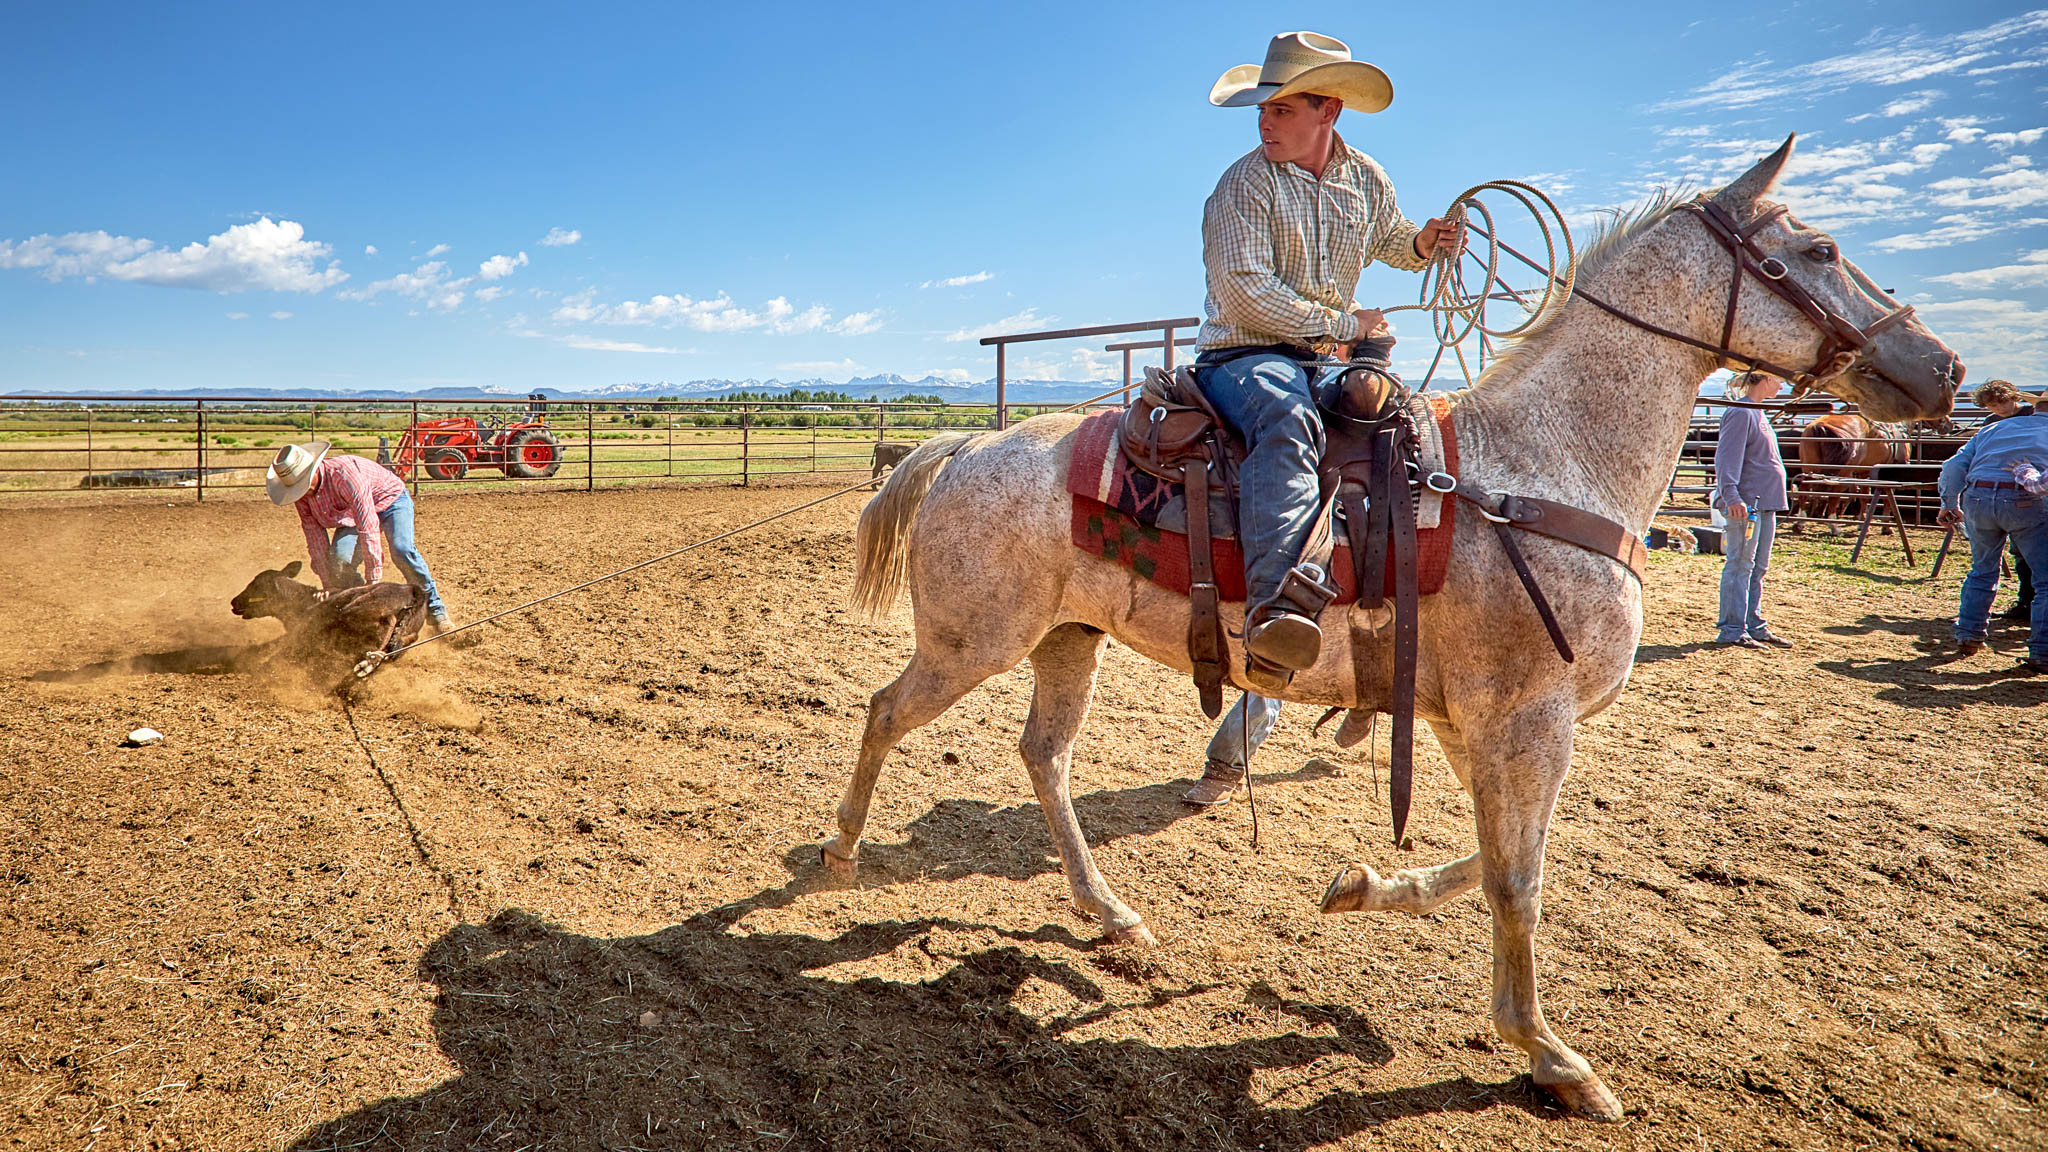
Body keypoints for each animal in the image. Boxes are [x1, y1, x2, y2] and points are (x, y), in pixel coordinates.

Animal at [823, 139, 1957, 1115]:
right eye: (1819, 250)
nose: (1939, 366)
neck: (1539, 467)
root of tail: (968, 447)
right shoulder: (1528, 718)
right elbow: (1518, 877)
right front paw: (1550, 1056)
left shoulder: (1470, 718)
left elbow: (1492, 861)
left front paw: (1364, 885)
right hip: (970, 643)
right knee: (883, 712)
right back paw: (839, 851)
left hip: (1065, 640)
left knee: (1043, 757)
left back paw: (1108, 910)